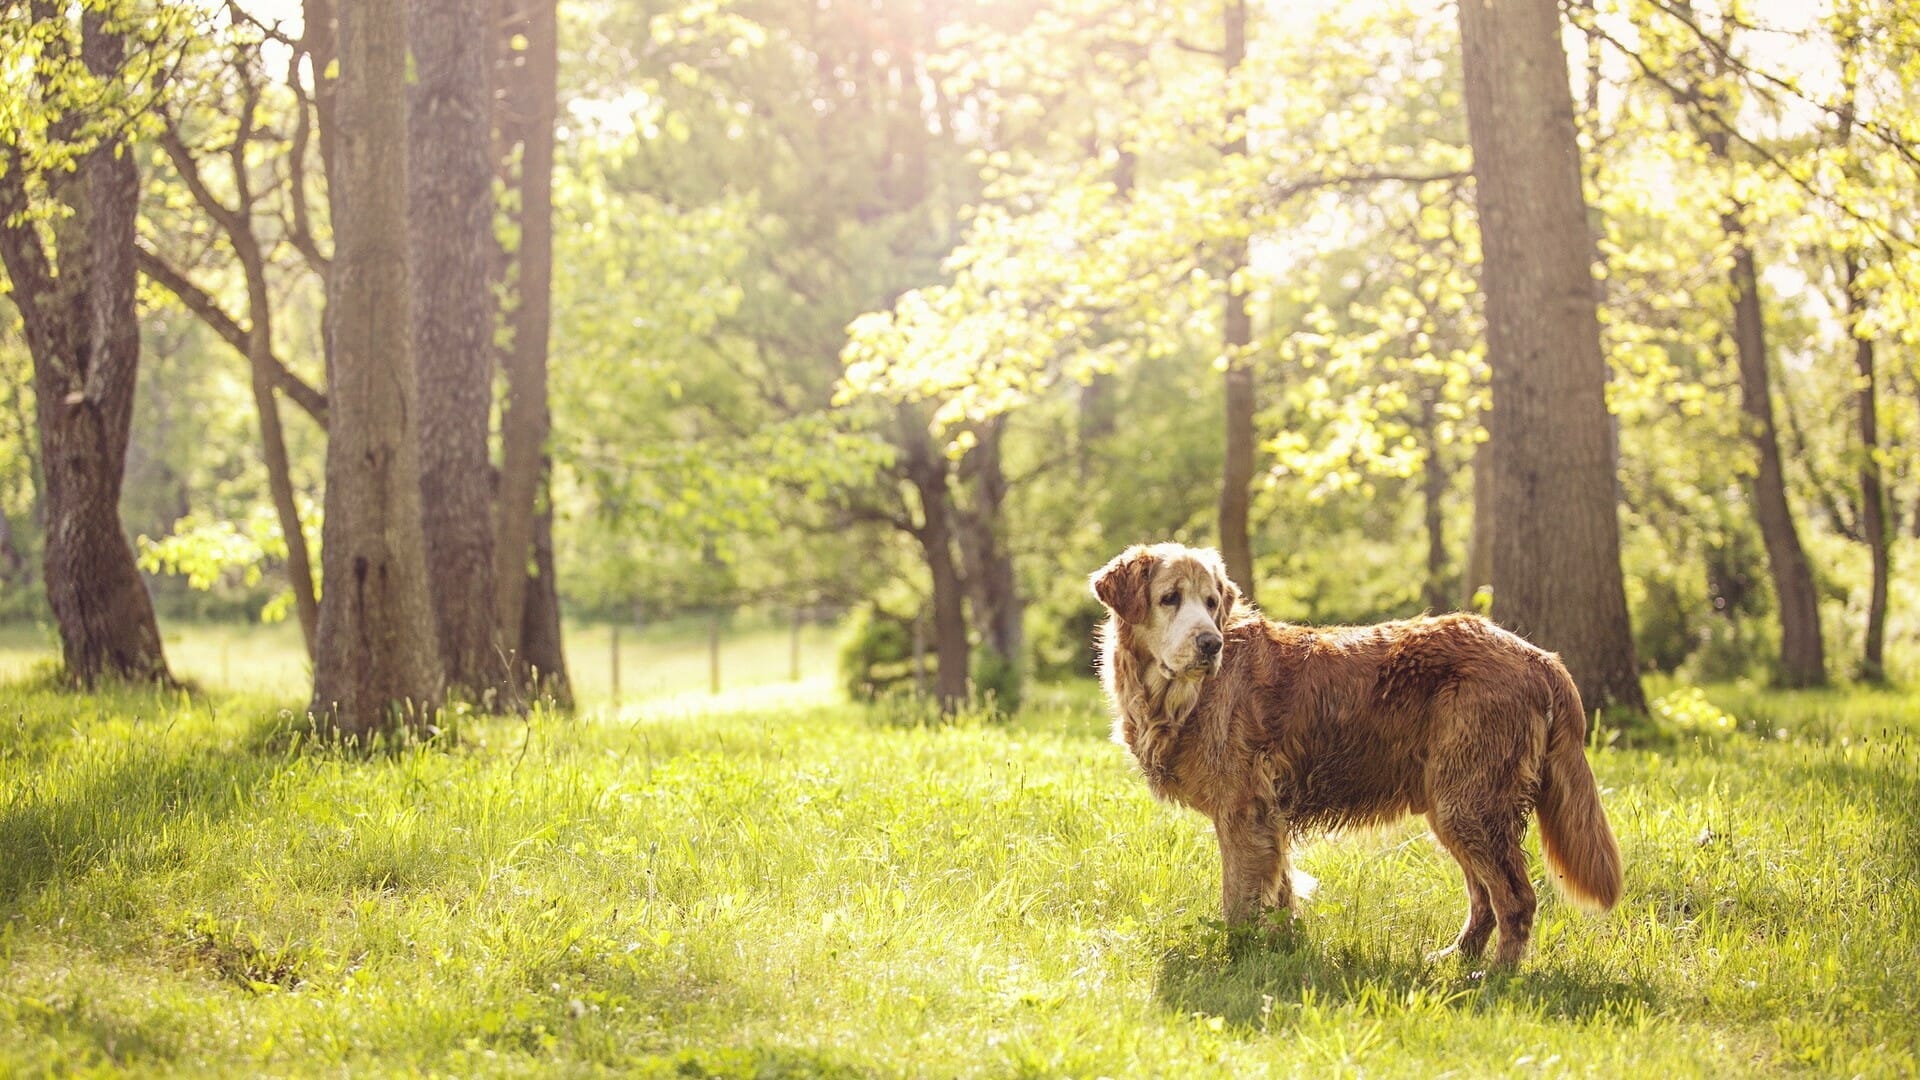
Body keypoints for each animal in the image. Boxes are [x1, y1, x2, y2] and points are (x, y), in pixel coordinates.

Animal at [1098, 541, 1620, 960]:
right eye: (1170, 598)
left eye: (1211, 603)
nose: (1210, 642)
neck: (1180, 698)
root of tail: (1539, 656)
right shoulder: (1267, 817)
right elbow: (1280, 896)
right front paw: (1282, 952)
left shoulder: (1242, 813)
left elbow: (1239, 902)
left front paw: (1235, 960)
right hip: (1453, 806)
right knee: (1483, 898)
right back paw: (1456, 959)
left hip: (1469, 804)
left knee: (1515, 899)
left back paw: (1494, 978)